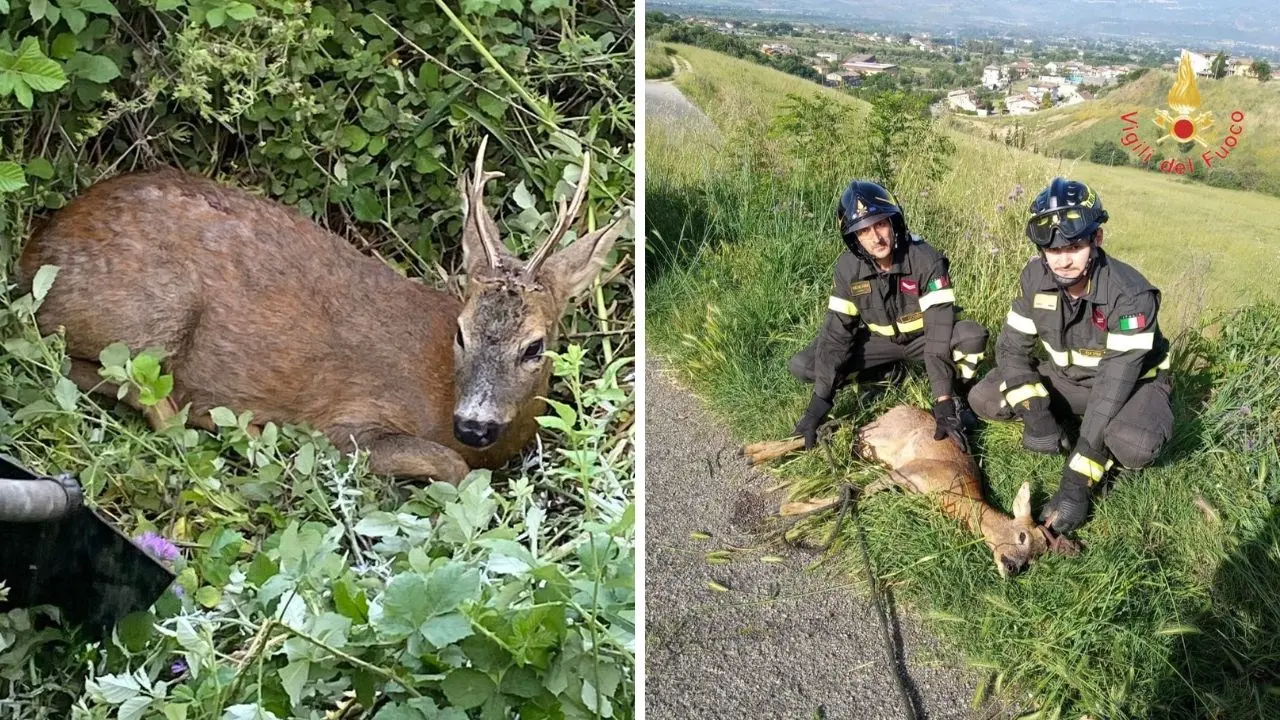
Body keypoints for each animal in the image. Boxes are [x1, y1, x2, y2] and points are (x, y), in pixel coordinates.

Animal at [13, 135, 624, 481]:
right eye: (461, 332)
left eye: (535, 346)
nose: (474, 425)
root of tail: (34, 249)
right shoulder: (348, 422)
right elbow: (451, 467)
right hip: (153, 314)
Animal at [737, 407, 1075, 573]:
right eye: (1022, 536)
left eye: (1034, 559)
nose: (1013, 567)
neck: (954, 495)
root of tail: (895, 408)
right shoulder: (909, 472)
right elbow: (855, 491)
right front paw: (791, 511)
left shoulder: (903, 481)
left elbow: (859, 492)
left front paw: (796, 513)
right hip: (874, 436)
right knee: (839, 426)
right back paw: (755, 451)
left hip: (870, 449)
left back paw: (756, 452)